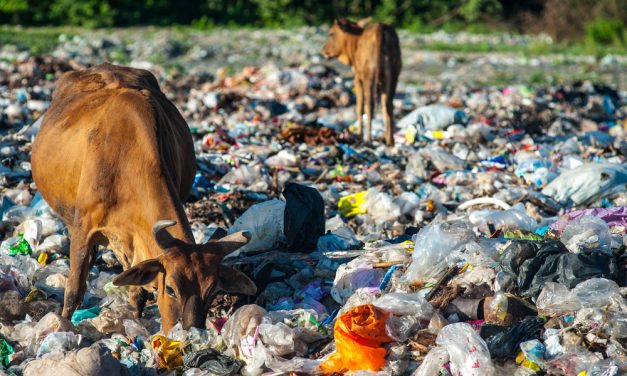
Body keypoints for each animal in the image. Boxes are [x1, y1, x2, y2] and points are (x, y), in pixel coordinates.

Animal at [31, 62, 258, 332]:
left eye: (213, 291)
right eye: (170, 288)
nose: (190, 332)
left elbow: (137, 294)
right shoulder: (82, 228)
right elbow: (73, 290)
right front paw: (64, 324)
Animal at [324, 18, 402, 147]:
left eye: (331, 33)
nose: (324, 51)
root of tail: (380, 28)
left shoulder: (357, 77)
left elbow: (359, 106)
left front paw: (359, 133)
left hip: (368, 75)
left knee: (369, 104)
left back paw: (368, 138)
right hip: (394, 74)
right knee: (388, 105)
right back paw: (389, 140)